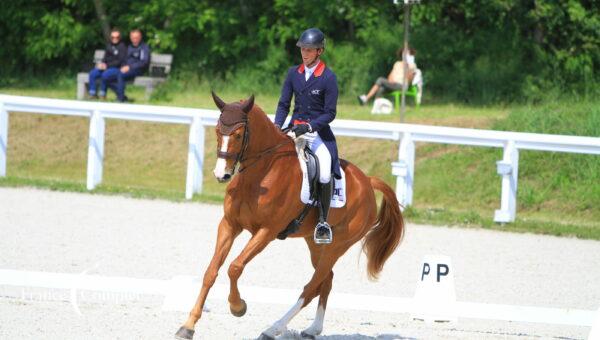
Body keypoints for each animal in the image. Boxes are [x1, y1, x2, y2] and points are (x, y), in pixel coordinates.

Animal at [176, 93, 406, 340]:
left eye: (238, 135)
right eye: (218, 131)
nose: (222, 174)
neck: (260, 174)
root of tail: (368, 181)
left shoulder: (266, 232)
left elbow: (235, 267)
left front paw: (238, 307)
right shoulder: (229, 225)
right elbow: (211, 272)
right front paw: (188, 325)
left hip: (339, 245)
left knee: (312, 286)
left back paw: (273, 329)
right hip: (316, 244)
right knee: (326, 281)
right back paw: (313, 329)